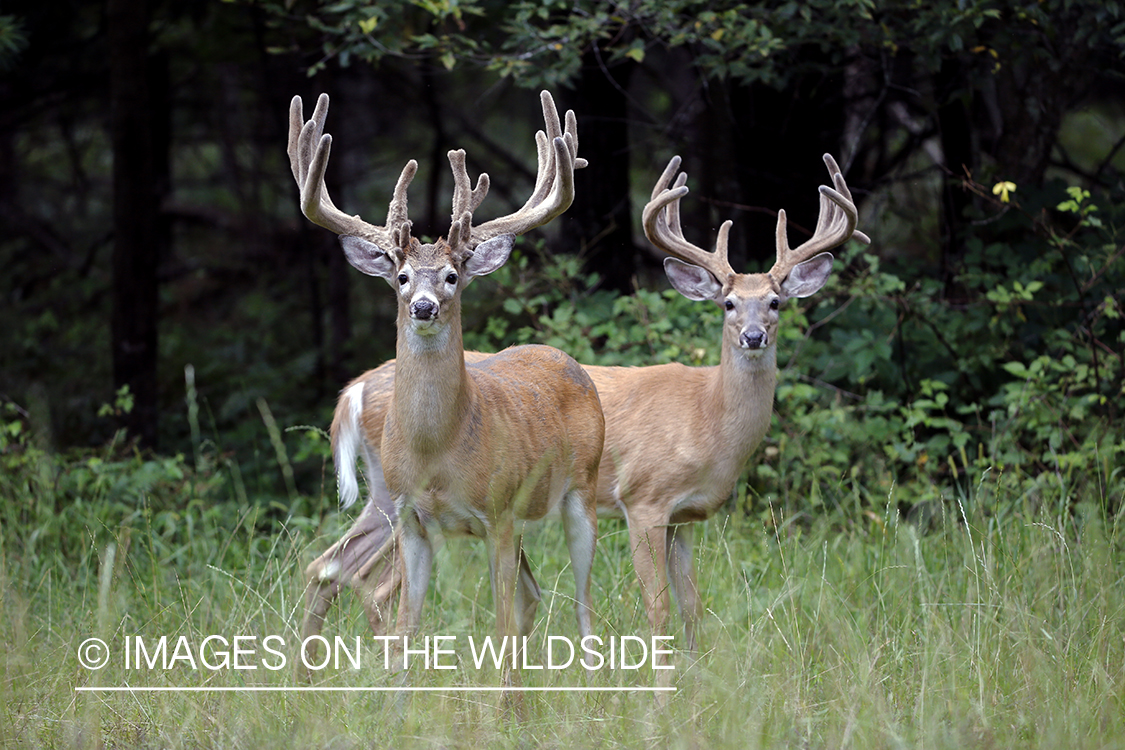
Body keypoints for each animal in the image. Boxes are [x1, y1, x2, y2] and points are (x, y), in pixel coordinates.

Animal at [290, 89, 607, 679]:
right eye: (401, 276)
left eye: (453, 276)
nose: (423, 306)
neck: (443, 451)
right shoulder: (418, 521)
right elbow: (409, 627)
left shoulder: (499, 515)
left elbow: (500, 625)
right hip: (390, 498)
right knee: (335, 569)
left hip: (582, 490)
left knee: (579, 601)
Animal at [301, 149, 868, 665]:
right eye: (729, 303)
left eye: (776, 302)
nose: (753, 336)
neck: (709, 420)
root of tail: (353, 391)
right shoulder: (645, 498)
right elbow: (658, 606)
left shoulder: (686, 516)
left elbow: (692, 607)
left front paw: (695, 680)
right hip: (398, 498)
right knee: (370, 582)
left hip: (384, 495)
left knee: (329, 567)